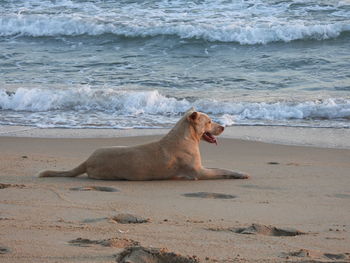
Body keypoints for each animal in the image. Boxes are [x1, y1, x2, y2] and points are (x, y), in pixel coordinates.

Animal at [38, 109, 249, 182]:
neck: (187, 136)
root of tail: (87, 159)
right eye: (209, 121)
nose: (223, 126)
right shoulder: (199, 171)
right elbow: (222, 169)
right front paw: (240, 173)